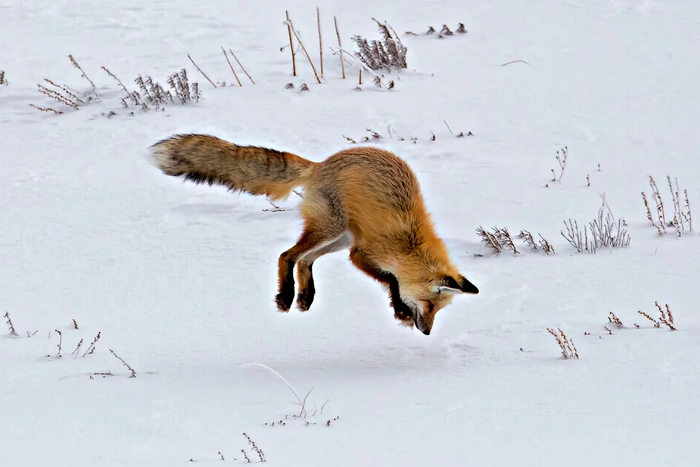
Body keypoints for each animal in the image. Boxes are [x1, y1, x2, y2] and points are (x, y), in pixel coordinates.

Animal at [150, 133, 478, 334]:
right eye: (430, 306)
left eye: (439, 311)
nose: (427, 331)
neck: (409, 244)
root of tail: (321, 164)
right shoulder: (360, 254)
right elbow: (391, 281)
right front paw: (400, 309)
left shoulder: (358, 251)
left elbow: (392, 280)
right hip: (332, 230)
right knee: (287, 255)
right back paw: (286, 296)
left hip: (339, 237)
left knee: (306, 260)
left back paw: (305, 297)